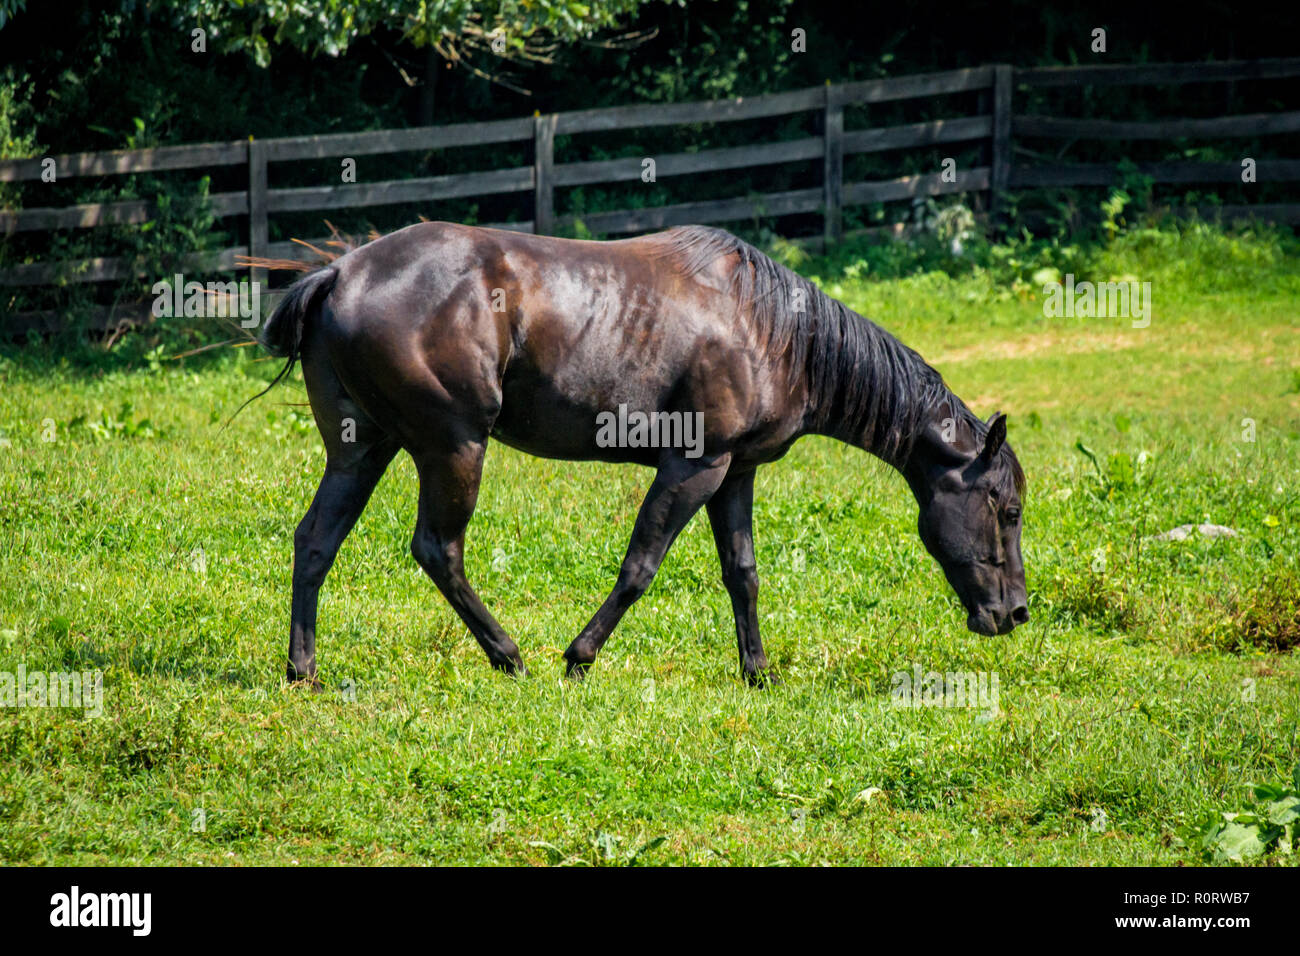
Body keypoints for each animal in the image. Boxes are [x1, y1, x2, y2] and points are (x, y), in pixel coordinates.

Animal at [257, 221, 1028, 687]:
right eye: (1008, 509)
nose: (1016, 613)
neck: (770, 328)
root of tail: (340, 274)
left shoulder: (735, 473)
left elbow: (743, 574)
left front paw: (758, 672)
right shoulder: (695, 466)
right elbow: (640, 567)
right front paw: (578, 657)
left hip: (363, 450)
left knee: (315, 540)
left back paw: (304, 670)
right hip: (454, 448)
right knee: (437, 549)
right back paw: (509, 655)